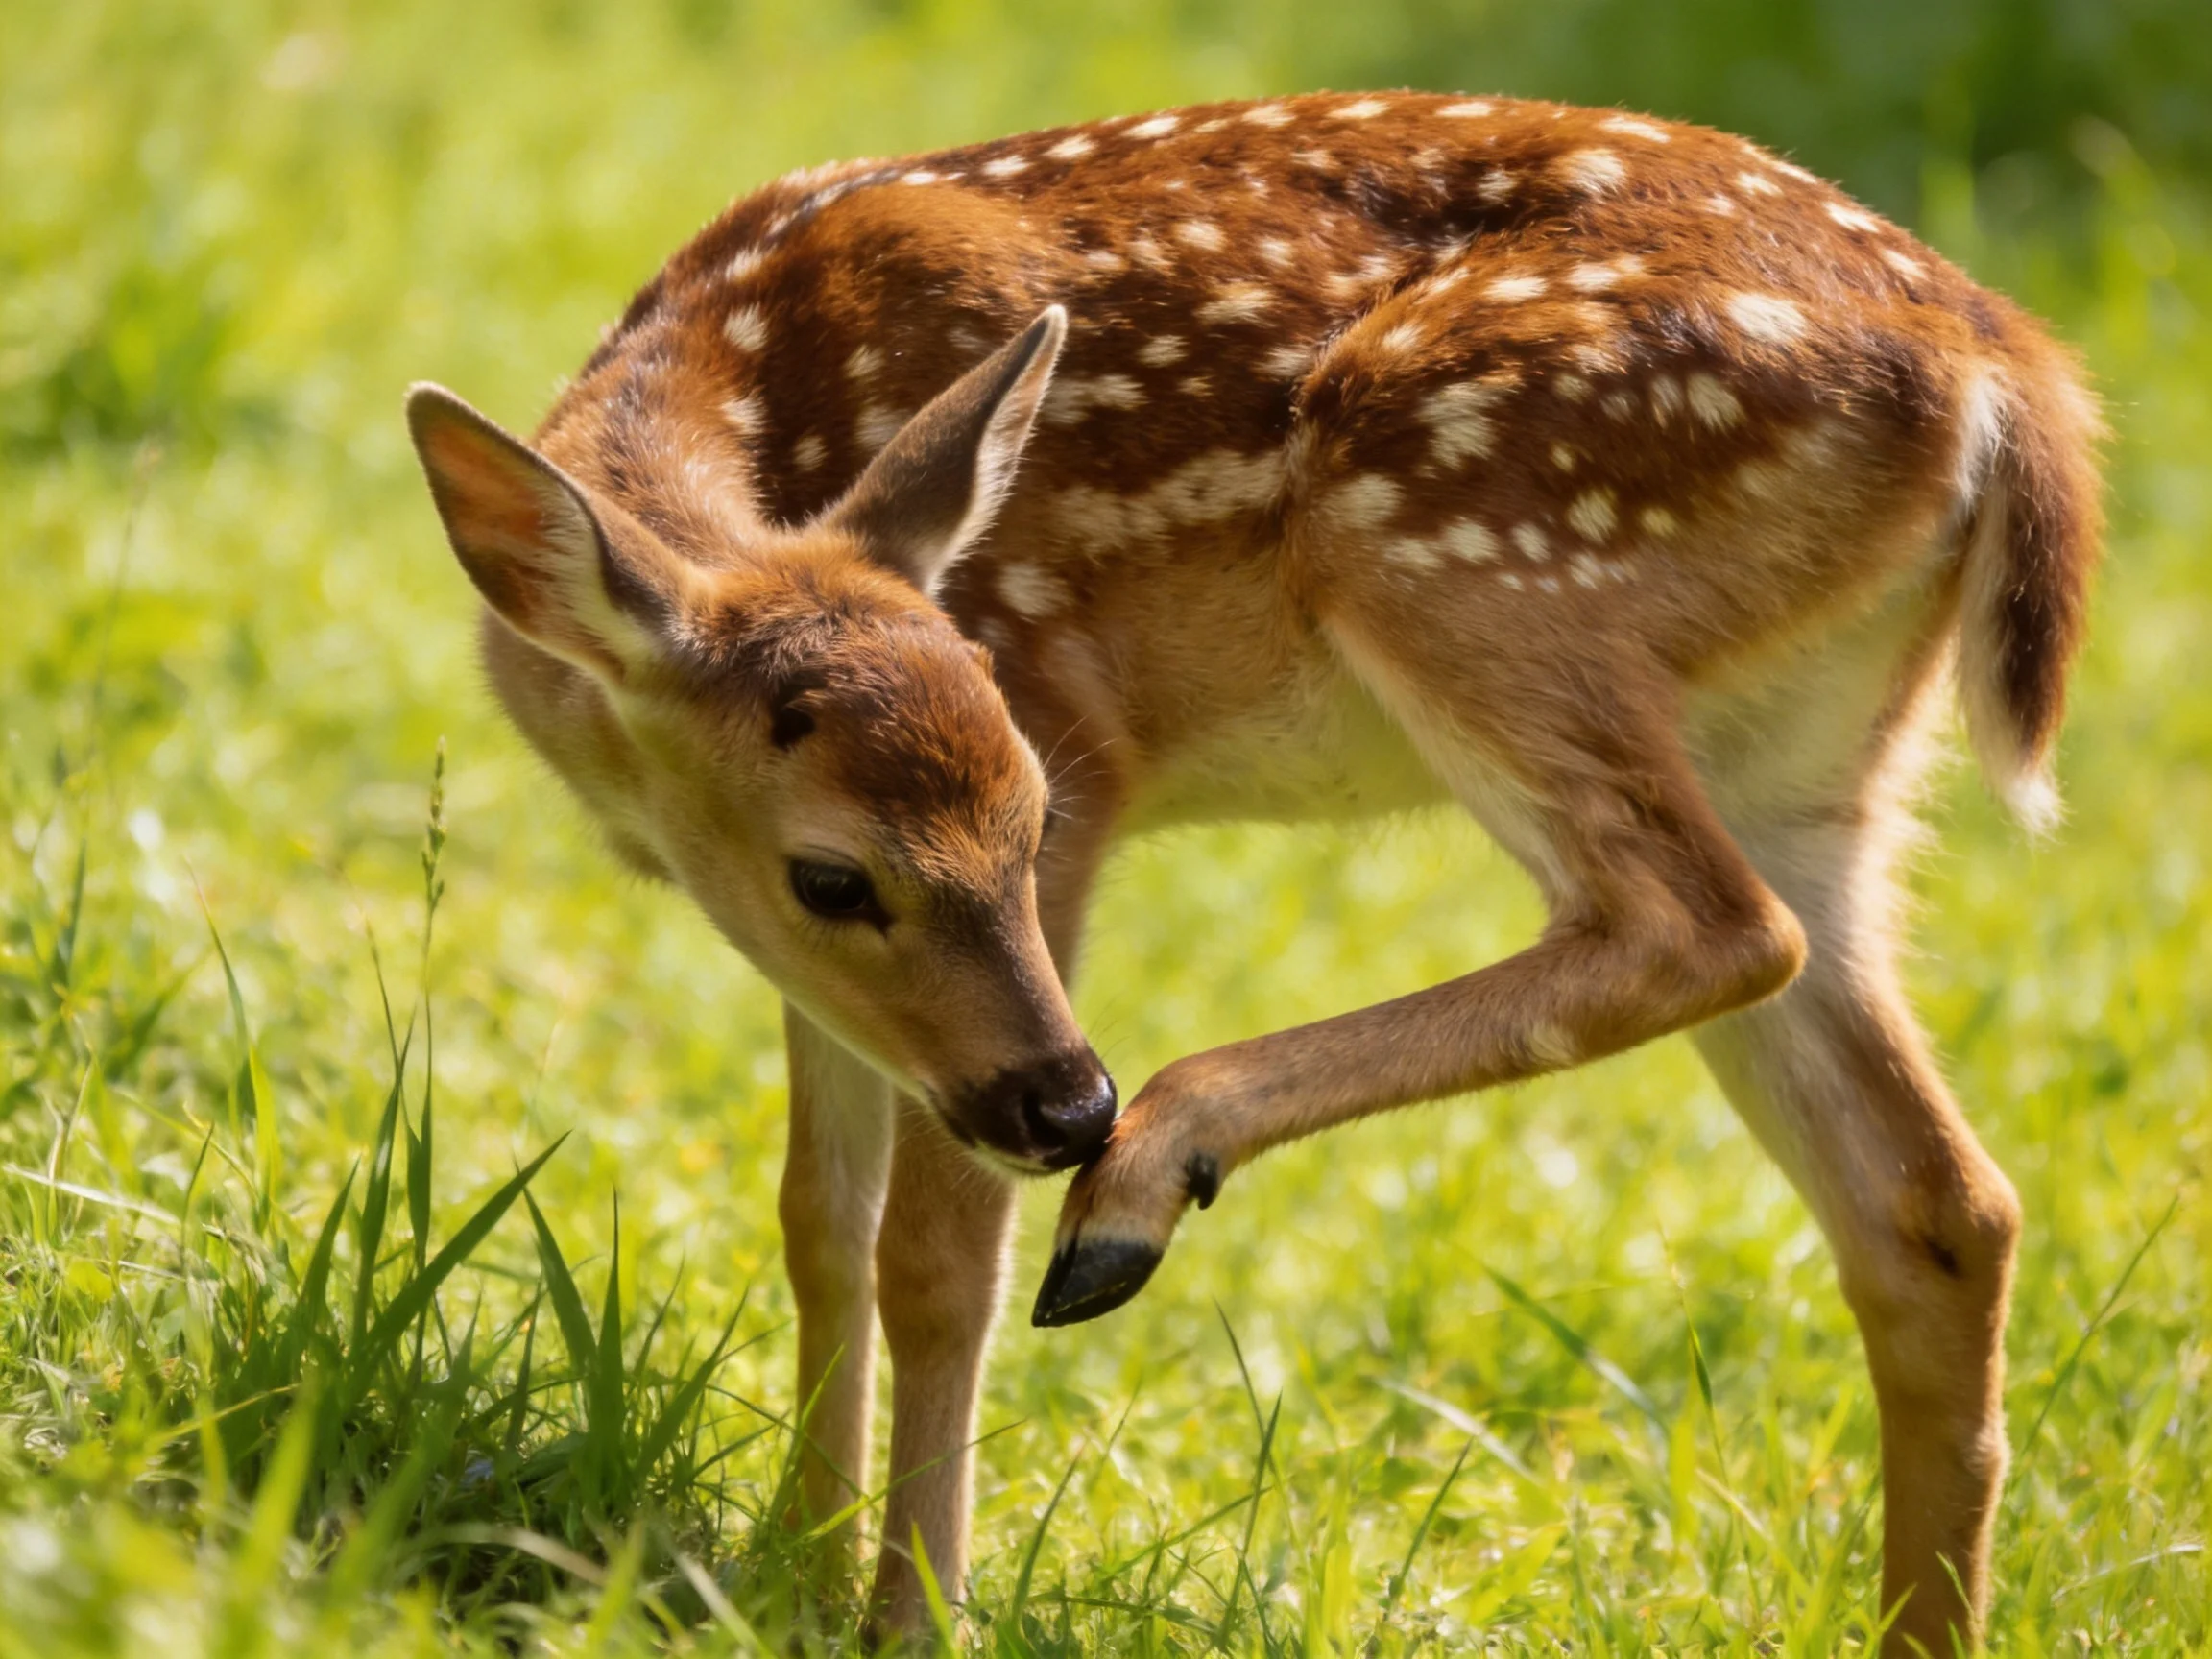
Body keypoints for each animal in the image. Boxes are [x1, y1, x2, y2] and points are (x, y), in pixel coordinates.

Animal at [406, 91, 2101, 1650]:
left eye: (1031, 811)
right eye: (829, 877)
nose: (1067, 1105)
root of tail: (2006, 377)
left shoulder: (1067, 715)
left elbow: (932, 1258)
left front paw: (906, 1613)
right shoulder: (813, 960)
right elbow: (818, 1223)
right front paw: (784, 1576)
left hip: (1463, 541)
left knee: (1702, 927)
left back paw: (1145, 1181)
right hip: (1811, 765)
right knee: (1940, 1206)